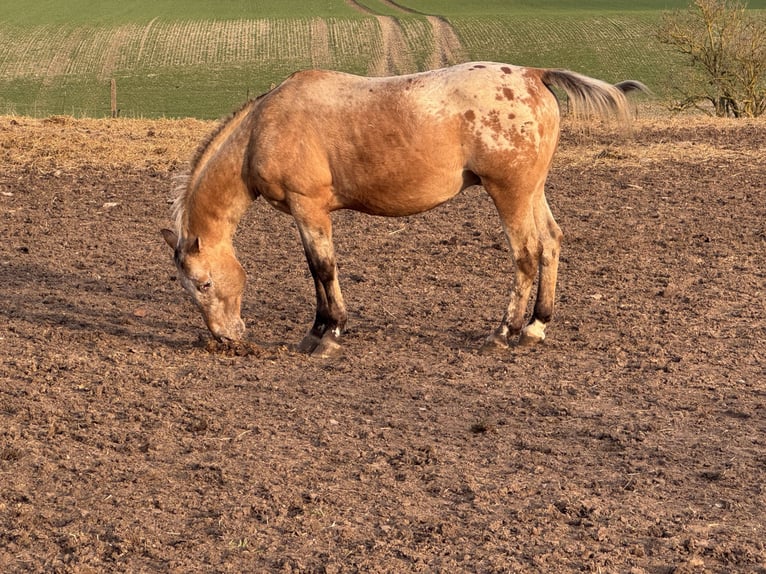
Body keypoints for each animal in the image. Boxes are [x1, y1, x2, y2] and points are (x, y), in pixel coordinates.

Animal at [162, 62, 647, 358]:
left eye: (204, 284)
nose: (225, 338)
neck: (267, 125)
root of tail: (533, 74)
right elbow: (315, 269)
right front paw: (318, 330)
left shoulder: (309, 208)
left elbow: (323, 267)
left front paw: (328, 333)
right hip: (532, 191)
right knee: (550, 242)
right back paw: (535, 326)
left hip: (509, 193)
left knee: (526, 254)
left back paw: (504, 331)